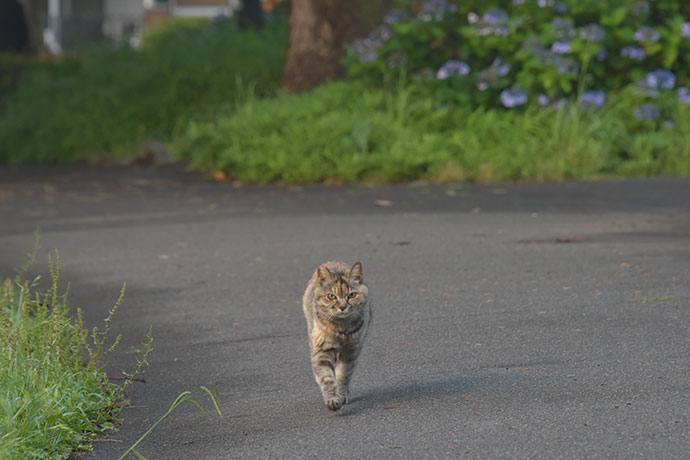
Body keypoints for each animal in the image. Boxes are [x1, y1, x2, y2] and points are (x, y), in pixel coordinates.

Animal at [300, 260, 370, 412]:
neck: (341, 329)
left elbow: (343, 374)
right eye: (331, 296)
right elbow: (327, 378)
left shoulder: (351, 350)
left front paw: (342, 395)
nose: (342, 307)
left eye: (352, 295)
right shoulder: (322, 351)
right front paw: (332, 399)